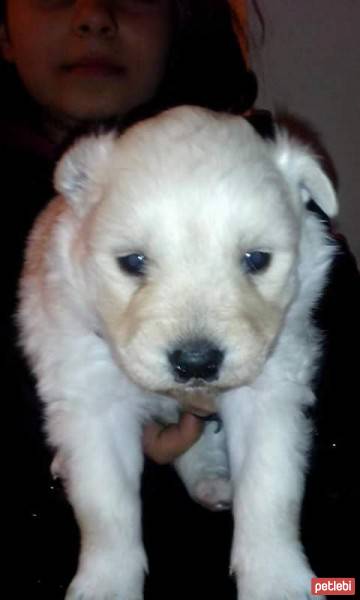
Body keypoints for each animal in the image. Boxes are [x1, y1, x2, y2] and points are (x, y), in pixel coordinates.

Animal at [18, 105, 336, 596]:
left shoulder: (271, 388)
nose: (196, 363)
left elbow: (271, 489)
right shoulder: (92, 398)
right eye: (132, 262)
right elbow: (106, 506)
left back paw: (212, 482)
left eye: (256, 259)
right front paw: (107, 585)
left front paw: (275, 580)